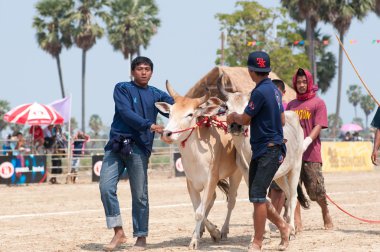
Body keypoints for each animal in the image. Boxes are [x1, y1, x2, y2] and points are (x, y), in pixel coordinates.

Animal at [155, 81, 242, 250]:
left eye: (190, 114)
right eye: (170, 113)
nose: (167, 134)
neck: (196, 156)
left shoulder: (210, 180)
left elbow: (199, 212)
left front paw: (197, 240)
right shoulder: (191, 183)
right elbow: (198, 209)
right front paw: (209, 232)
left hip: (237, 175)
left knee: (231, 201)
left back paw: (224, 230)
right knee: (212, 200)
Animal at [217, 78, 308, 235]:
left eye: (247, 106)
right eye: (227, 107)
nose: (236, 126)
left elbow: (264, 199)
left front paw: (264, 230)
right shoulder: (245, 174)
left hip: (295, 168)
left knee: (293, 196)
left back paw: (291, 227)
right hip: (280, 176)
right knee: (287, 193)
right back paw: (286, 223)